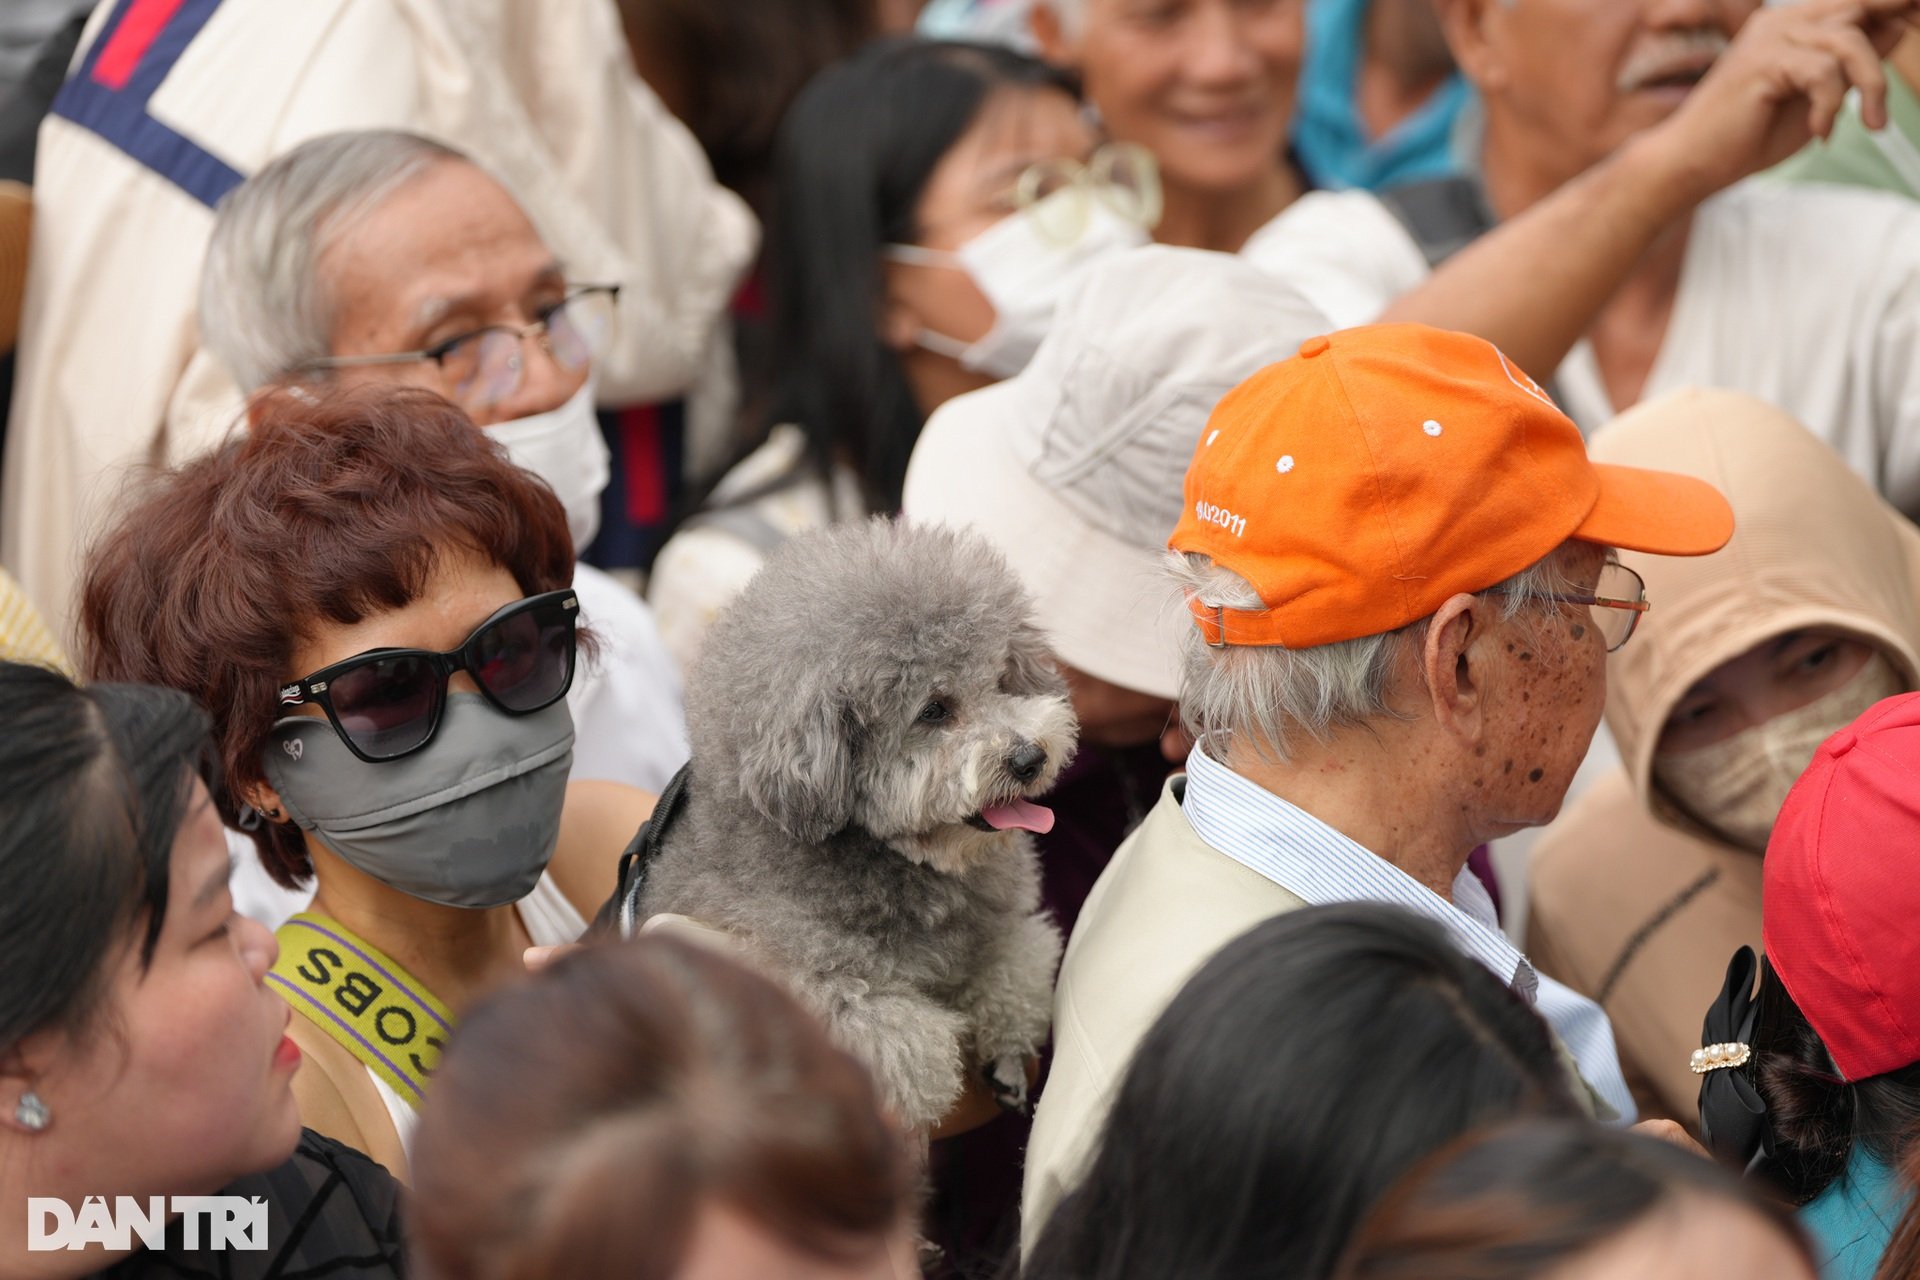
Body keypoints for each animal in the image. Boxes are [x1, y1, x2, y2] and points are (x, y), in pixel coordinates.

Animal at [633, 514, 1075, 1128]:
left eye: (1002, 680)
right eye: (933, 710)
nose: (1031, 758)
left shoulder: (999, 931)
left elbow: (1014, 964)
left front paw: (1006, 1053)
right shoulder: (799, 974)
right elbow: (900, 1041)